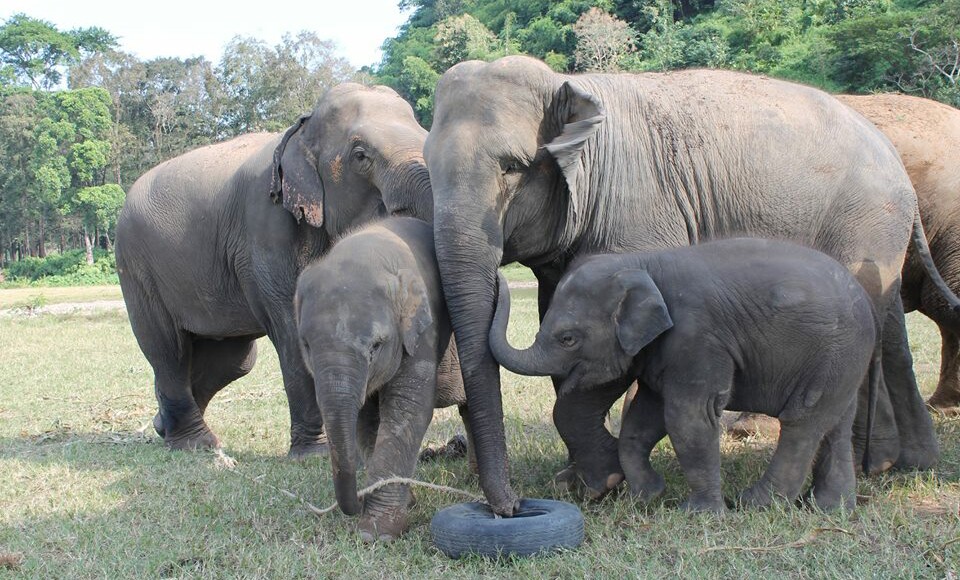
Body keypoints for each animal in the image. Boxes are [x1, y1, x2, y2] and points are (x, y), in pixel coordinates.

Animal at [114, 84, 430, 458]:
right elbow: (293, 332)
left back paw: (162, 426)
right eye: (361, 156)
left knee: (234, 359)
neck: (301, 131)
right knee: (168, 349)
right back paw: (197, 444)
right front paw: (314, 455)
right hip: (136, 268)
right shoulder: (265, 229)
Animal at [294, 215, 470, 540]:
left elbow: (407, 408)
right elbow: (365, 418)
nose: (356, 501)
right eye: (306, 345)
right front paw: (405, 504)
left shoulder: (425, 329)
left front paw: (376, 533)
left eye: (376, 346)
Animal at [496, 239, 876, 512]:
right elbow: (644, 419)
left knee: (802, 423)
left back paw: (755, 504)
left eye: (568, 339)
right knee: (836, 424)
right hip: (844, 363)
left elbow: (687, 417)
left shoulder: (696, 338)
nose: (499, 276)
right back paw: (830, 508)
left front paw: (698, 513)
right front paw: (646, 497)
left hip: (833, 354)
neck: (644, 263)